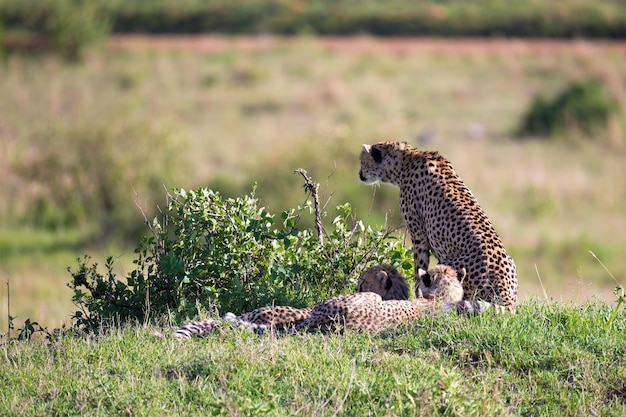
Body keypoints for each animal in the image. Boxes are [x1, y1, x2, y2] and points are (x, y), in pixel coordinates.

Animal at [358, 141, 516, 310]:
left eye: (362, 161)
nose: (360, 174)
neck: (405, 161)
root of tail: (507, 299)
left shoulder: (418, 235)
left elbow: (419, 270)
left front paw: (417, 296)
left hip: (448, 263)